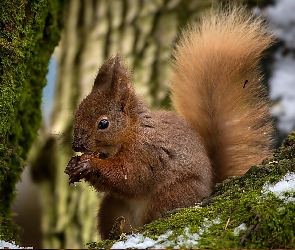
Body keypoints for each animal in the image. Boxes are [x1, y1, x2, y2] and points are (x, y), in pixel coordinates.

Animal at [65, 6, 276, 239]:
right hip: (111, 207)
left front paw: (89, 163)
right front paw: (74, 164)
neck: (132, 132)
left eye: (103, 124)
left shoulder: (147, 151)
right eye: (78, 112)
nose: (76, 145)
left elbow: (131, 175)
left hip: (171, 195)